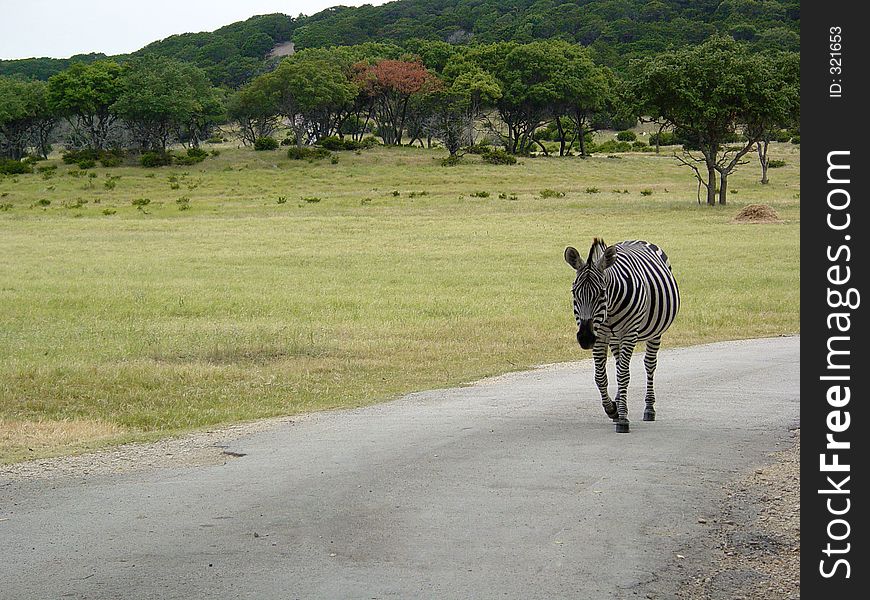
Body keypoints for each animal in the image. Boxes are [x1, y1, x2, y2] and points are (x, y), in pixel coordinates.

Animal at [564, 238, 680, 432]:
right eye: (574, 292)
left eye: (602, 293)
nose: (585, 338)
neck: (610, 310)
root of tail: (638, 240)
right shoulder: (600, 335)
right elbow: (601, 376)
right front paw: (612, 409)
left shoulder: (629, 332)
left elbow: (624, 375)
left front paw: (623, 419)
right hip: (614, 338)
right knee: (619, 365)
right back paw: (618, 403)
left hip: (655, 333)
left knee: (649, 365)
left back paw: (649, 408)